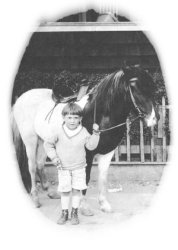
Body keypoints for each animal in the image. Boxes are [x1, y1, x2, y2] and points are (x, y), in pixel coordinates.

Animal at [10, 66, 158, 213]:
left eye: (151, 88)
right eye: (134, 86)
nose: (153, 119)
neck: (99, 115)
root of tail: (20, 99)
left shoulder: (107, 153)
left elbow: (102, 178)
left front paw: (103, 204)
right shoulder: (87, 154)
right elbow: (85, 178)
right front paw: (83, 206)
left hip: (43, 141)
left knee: (40, 164)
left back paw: (51, 192)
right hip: (31, 140)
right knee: (32, 167)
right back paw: (35, 199)